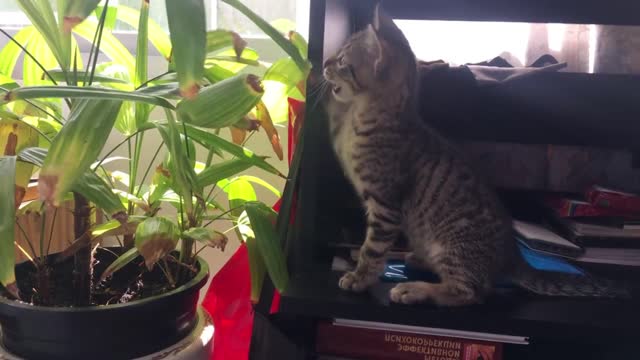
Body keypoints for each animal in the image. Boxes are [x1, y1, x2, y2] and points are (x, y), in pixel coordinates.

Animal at [322, 4, 628, 306]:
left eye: (342, 61)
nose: (324, 63)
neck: (365, 115)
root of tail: (512, 256)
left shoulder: (385, 204)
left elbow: (372, 249)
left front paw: (359, 277)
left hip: (452, 246)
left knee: (469, 292)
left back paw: (415, 289)